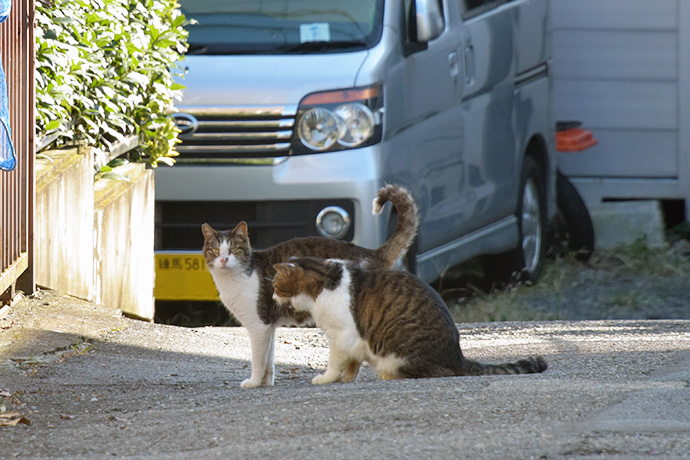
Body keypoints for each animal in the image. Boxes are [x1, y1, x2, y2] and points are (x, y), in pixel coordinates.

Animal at [200, 184, 420, 388]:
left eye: (234, 250)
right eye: (215, 251)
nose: (224, 259)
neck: (234, 279)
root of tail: (370, 253)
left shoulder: (258, 324)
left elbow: (258, 359)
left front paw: (253, 382)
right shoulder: (269, 327)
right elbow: (269, 360)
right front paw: (266, 383)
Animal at [272, 256, 544, 382]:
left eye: (275, 285)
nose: (272, 296)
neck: (323, 284)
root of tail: (457, 356)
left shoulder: (341, 337)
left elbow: (336, 363)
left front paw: (326, 379)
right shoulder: (352, 342)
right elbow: (352, 364)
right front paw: (347, 378)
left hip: (397, 353)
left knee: (436, 372)